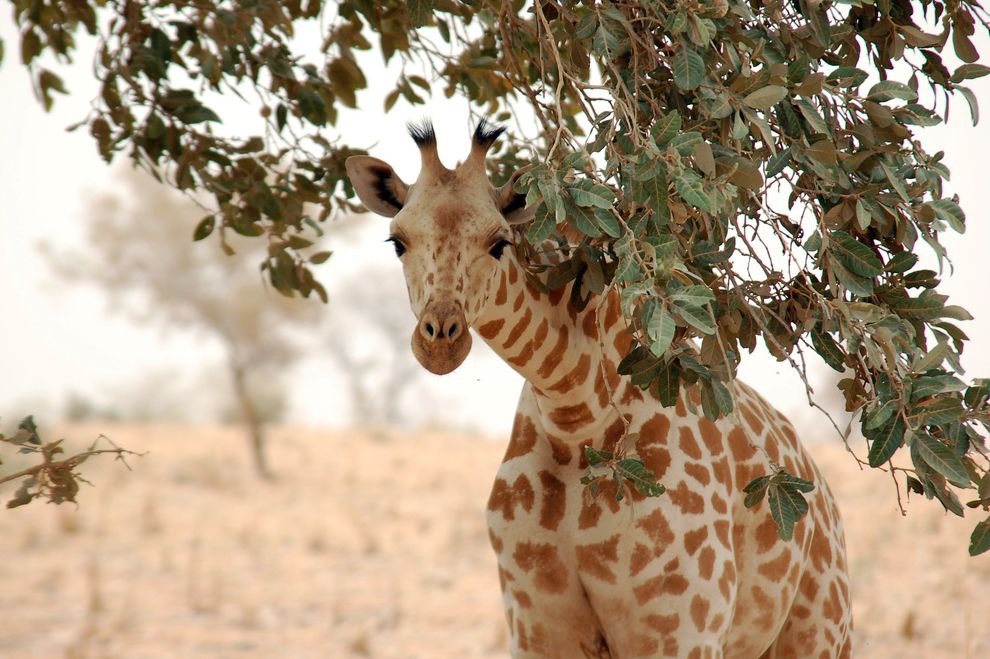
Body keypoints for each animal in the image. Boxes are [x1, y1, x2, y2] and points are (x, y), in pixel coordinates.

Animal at [342, 120, 852, 659]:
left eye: (499, 242)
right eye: (398, 241)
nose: (440, 340)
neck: (576, 414)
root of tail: (822, 493)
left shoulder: (684, 630)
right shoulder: (536, 626)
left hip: (820, 632)